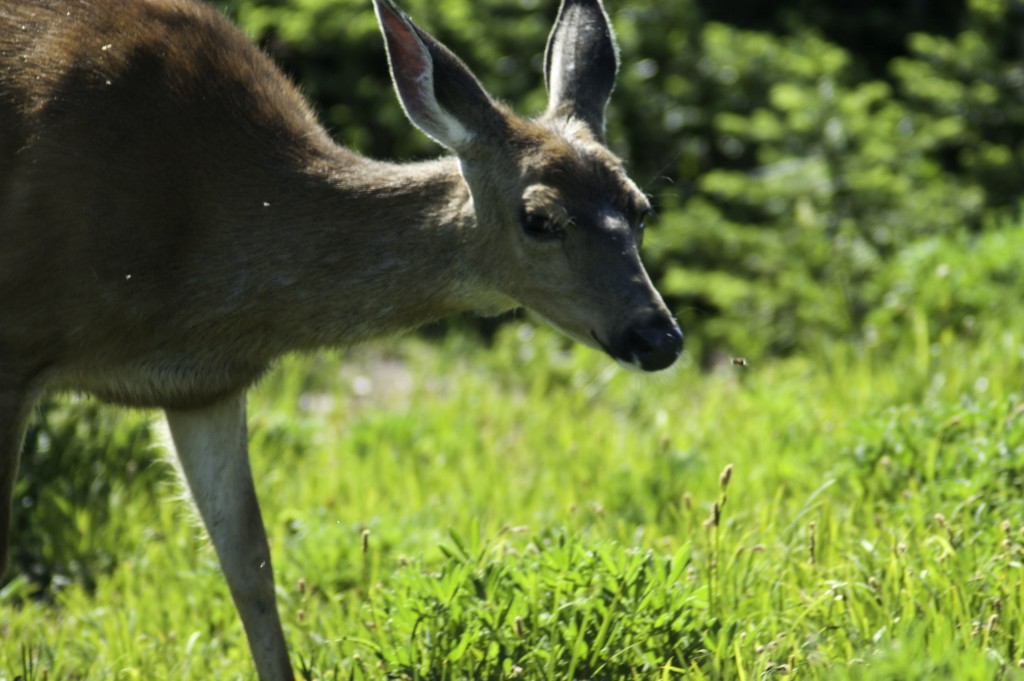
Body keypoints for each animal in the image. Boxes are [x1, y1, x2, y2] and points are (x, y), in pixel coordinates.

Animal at [4, 0, 684, 675]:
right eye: (539, 218)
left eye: (642, 210)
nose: (659, 337)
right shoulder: (20, 341)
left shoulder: (203, 385)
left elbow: (250, 564)